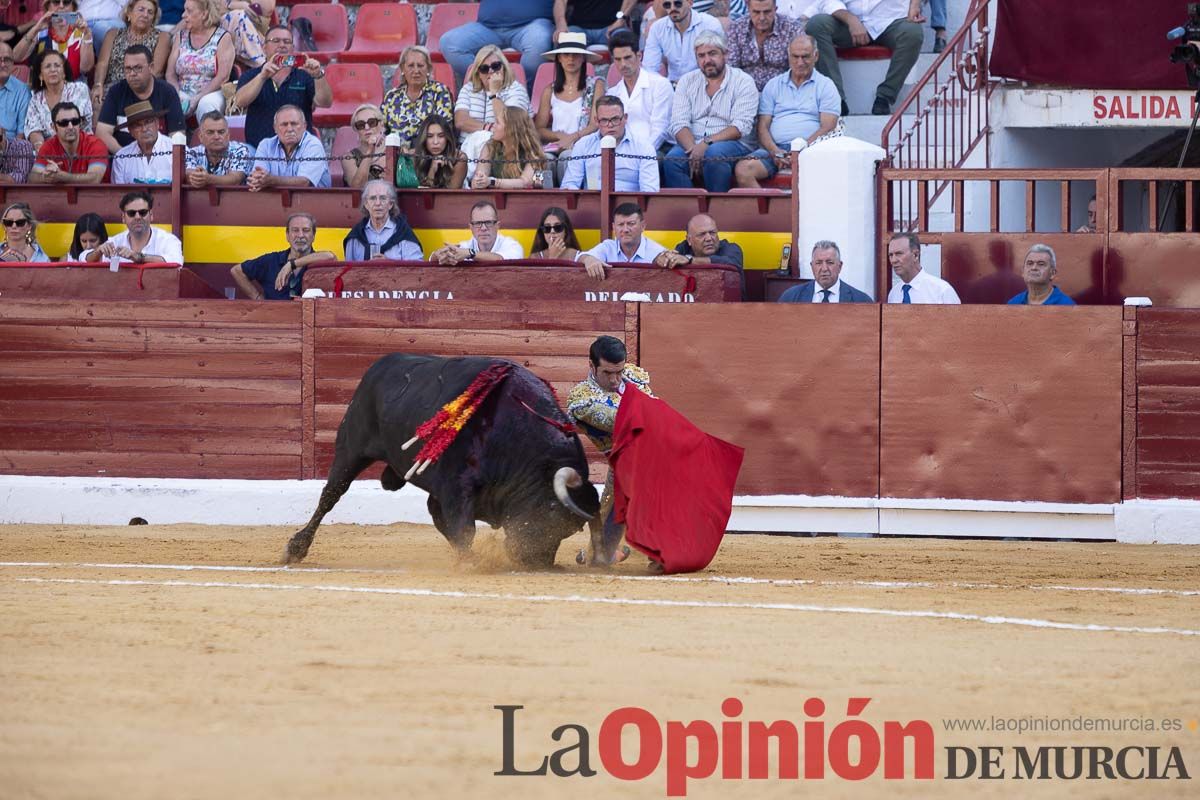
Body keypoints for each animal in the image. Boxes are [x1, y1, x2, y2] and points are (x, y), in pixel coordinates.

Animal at [282, 352, 600, 566]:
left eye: (571, 529)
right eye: (551, 514)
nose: (536, 561)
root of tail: (380, 365)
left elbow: (451, 525)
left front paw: (469, 558)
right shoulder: (456, 485)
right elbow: (464, 528)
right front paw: (470, 562)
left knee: (433, 513)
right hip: (351, 447)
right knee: (331, 494)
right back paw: (295, 548)